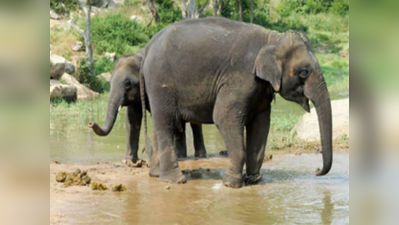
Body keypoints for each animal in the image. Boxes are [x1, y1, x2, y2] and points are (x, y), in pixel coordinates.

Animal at [141, 16, 334, 188]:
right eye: (304, 72)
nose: (316, 170)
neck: (272, 38)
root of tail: (147, 47)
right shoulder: (240, 77)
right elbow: (223, 117)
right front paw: (231, 184)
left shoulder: (260, 88)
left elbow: (260, 124)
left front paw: (255, 182)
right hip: (160, 82)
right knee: (166, 122)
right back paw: (175, 180)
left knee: (159, 124)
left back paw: (156, 175)